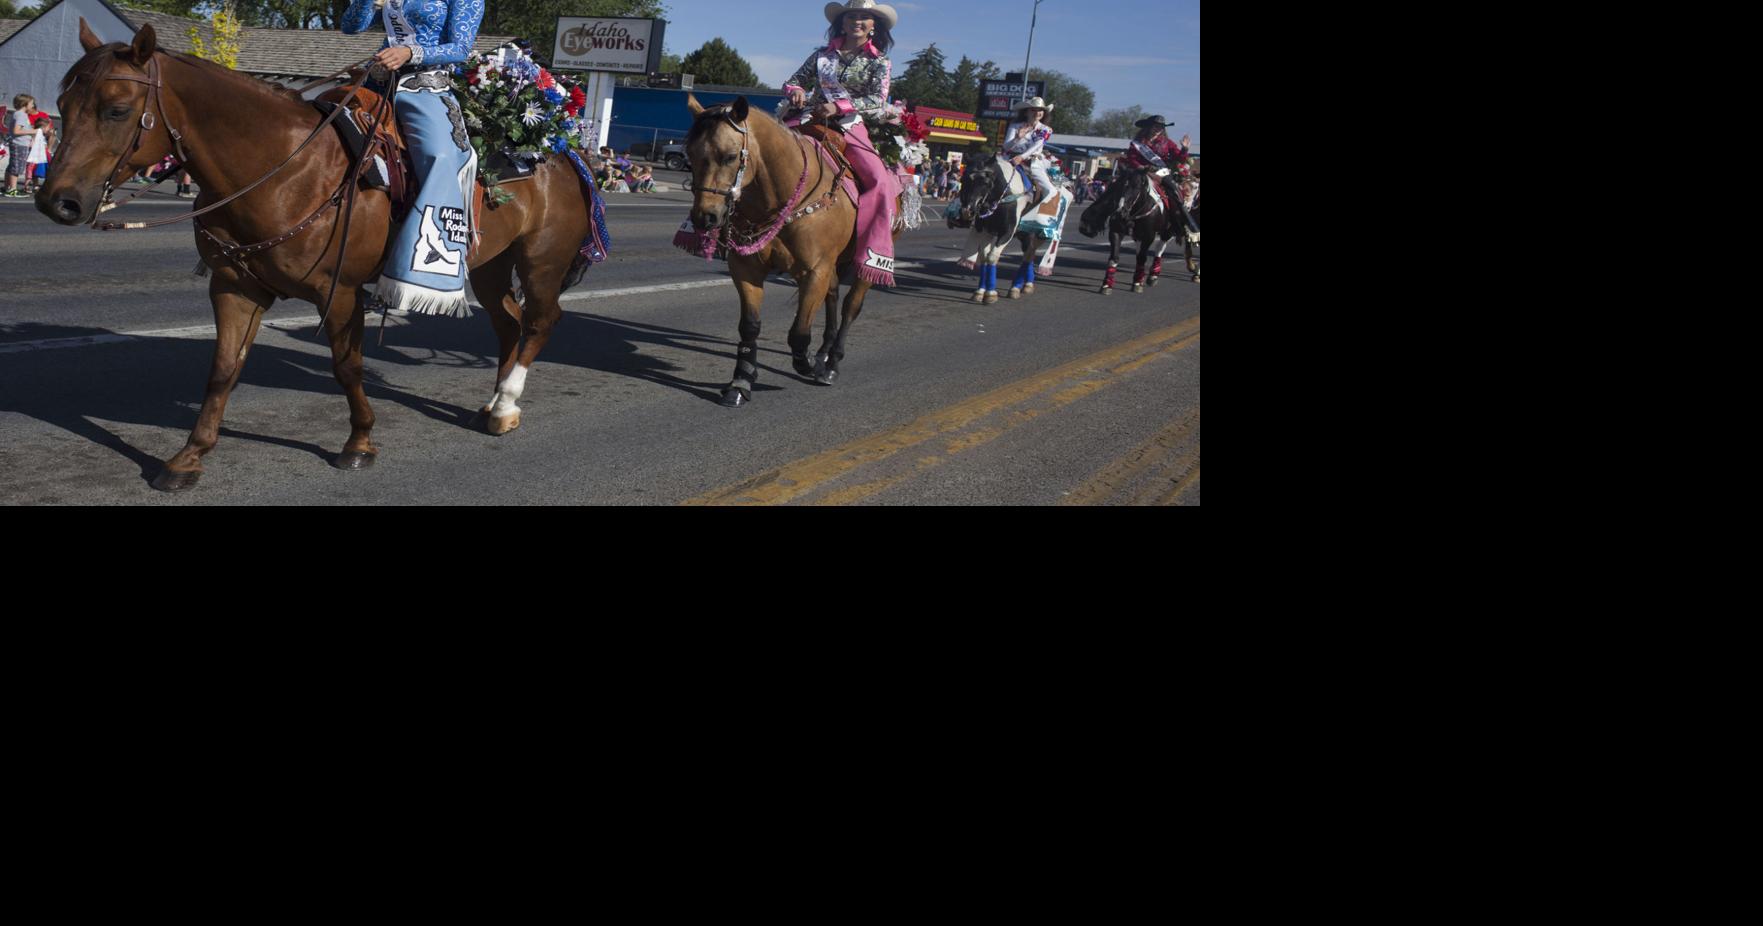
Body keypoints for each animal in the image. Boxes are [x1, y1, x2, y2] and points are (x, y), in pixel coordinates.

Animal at [34, 19, 595, 490]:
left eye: (116, 110)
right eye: (62, 107)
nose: (56, 201)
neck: (284, 169)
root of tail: (565, 151)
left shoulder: (339, 291)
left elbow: (348, 366)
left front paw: (359, 443)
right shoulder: (235, 287)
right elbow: (224, 369)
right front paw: (189, 456)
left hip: (540, 261)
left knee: (540, 321)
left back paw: (504, 406)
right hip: (490, 266)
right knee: (508, 323)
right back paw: (499, 404)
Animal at [680, 93, 902, 403]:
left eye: (730, 156)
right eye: (689, 155)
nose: (705, 217)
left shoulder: (814, 271)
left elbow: (798, 333)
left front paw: (807, 364)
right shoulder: (746, 268)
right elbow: (750, 326)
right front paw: (741, 381)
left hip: (866, 263)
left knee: (850, 306)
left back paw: (831, 364)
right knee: (833, 297)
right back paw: (824, 353)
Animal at [952, 156, 1043, 303]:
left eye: (986, 183)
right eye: (963, 179)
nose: (967, 211)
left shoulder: (1007, 232)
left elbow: (992, 257)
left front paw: (990, 294)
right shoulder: (984, 230)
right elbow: (984, 257)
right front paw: (980, 291)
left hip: (1029, 233)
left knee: (1028, 254)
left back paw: (1018, 287)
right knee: (1028, 253)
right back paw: (1023, 285)